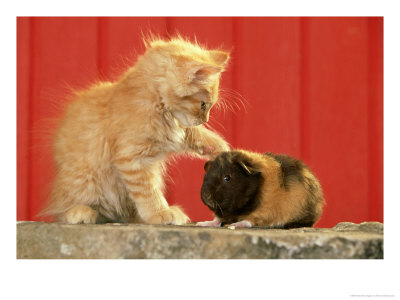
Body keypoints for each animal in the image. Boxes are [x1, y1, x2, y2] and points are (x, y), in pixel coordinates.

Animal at [42, 36, 230, 224]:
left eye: (209, 106)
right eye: (203, 105)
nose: (205, 120)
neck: (156, 103)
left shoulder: (175, 135)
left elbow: (196, 134)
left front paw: (219, 149)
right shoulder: (132, 158)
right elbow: (148, 192)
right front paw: (160, 212)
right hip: (85, 181)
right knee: (65, 209)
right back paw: (80, 212)